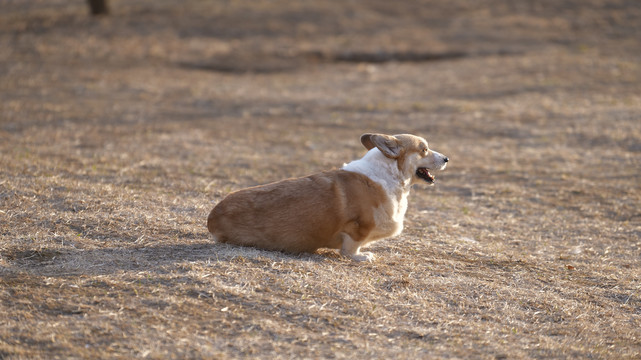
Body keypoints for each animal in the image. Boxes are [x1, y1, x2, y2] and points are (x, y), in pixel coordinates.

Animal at [208, 133, 448, 262]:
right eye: (424, 149)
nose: (447, 158)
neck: (389, 174)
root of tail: (212, 217)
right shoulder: (357, 228)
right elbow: (350, 248)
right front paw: (361, 257)